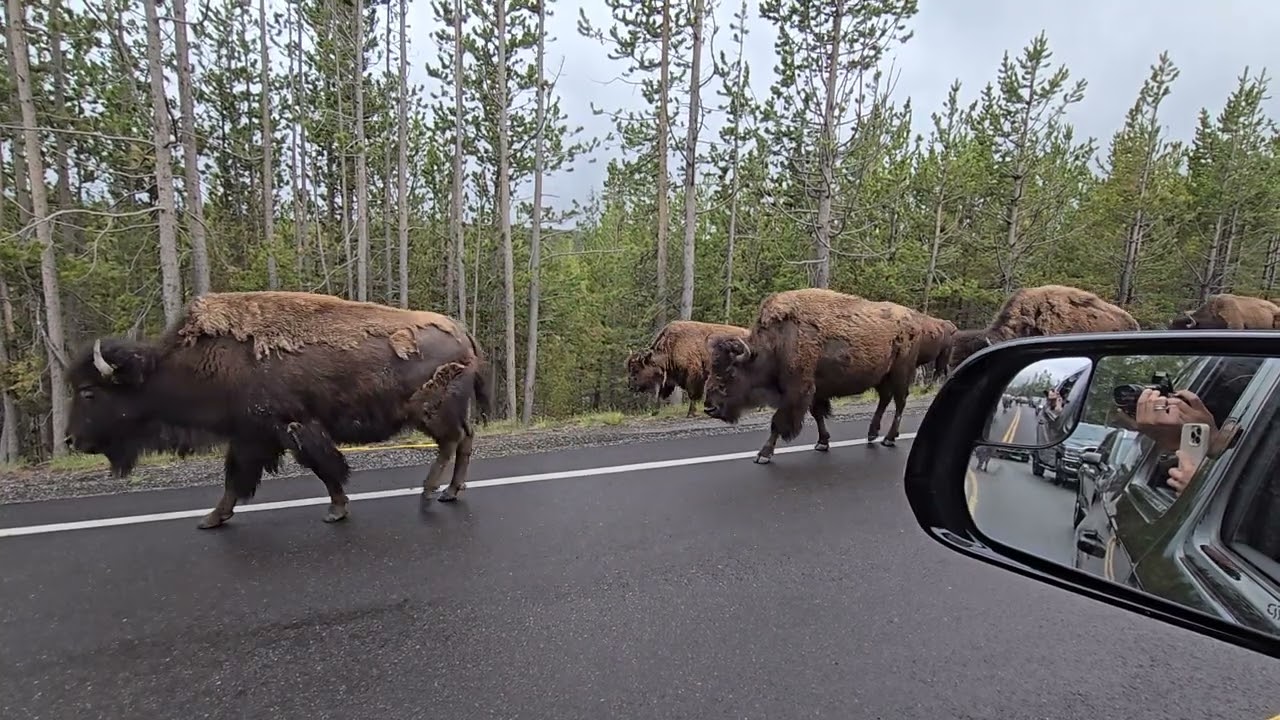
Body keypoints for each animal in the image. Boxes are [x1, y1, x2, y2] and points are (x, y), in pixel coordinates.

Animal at [65, 291, 491, 529]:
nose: (71, 440)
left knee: (450, 443)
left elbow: (322, 467)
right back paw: (449, 492)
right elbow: (235, 480)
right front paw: (212, 519)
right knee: (463, 442)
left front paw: (336, 511)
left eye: (88, 392)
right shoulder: (249, 435)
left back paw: (430, 492)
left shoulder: (288, 427)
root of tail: (461, 331)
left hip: (433, 411)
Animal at [702, 288, 923, 464]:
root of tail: (913, 321)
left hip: (900, 374)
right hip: (883, 377)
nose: (709, 407)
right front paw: (822, 443)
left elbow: (777, 422)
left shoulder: (796, 391)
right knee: (885, 399)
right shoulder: (814, 392)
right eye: (712, 369)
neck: (777, 345)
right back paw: (872, 434)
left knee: (900, 403)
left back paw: (888, 438)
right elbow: (818, 414)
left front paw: (763, 455)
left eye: (731, 371)